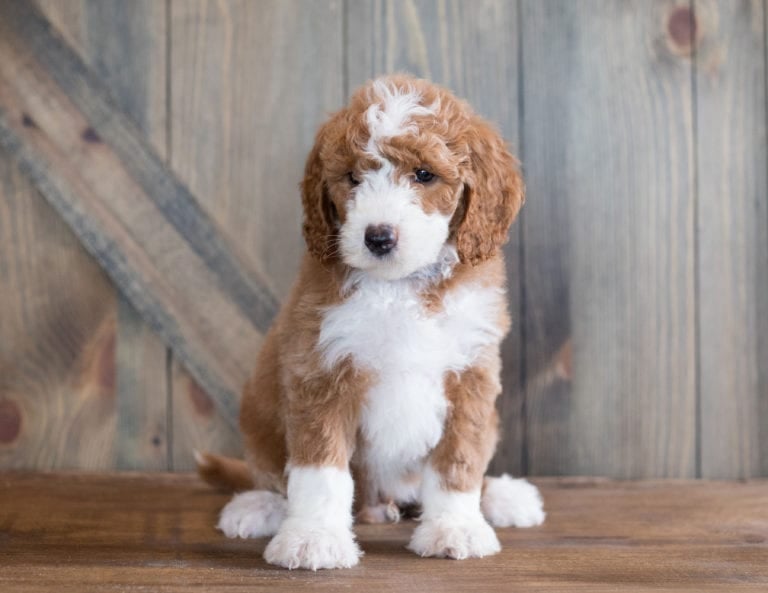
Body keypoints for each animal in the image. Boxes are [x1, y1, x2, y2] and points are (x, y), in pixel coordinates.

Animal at [198, 74, 544, 568]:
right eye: (352, 178)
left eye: (424, 174)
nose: (378, 237)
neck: (400, 286)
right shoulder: (320, 369)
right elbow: (319, 470)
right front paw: (313, 537)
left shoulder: (470, 375)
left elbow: (458, 460)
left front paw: (455, 527)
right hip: (258, 411)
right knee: (270, 473)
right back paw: (259, 506)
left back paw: (501, 497)